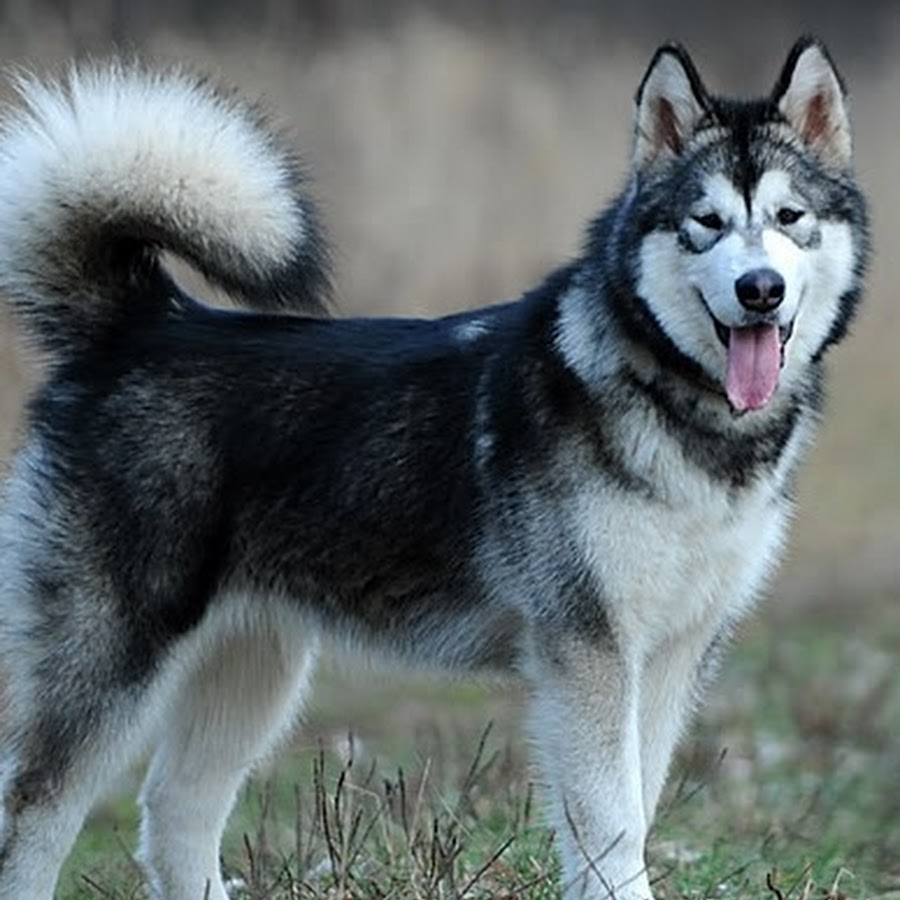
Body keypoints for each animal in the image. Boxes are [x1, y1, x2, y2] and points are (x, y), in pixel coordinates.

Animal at [0, 37, 868, 900]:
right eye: (706, 223)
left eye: (790, 218)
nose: (761, 289)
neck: (681, 409)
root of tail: (145, 323)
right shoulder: (587, 649)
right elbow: (612, 823)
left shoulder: (673, 653)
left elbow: (635, 810)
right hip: (112, 658)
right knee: (34, 815)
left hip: (256, 665)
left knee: (175, 808)